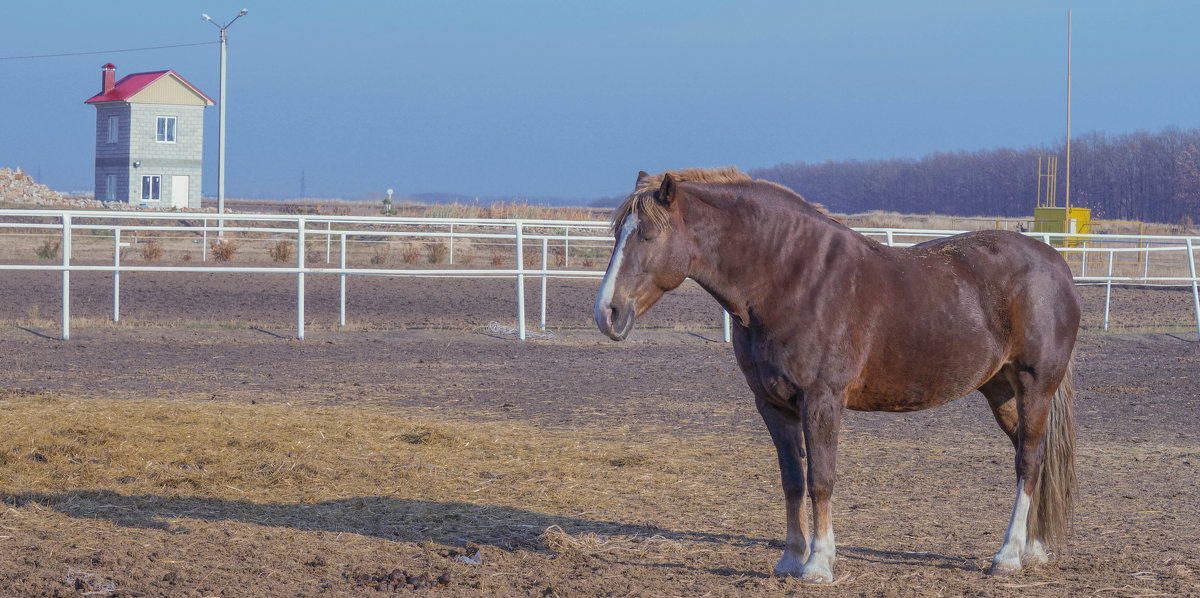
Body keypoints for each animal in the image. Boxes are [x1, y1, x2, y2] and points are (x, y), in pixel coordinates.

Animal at [595, 165, 1084, 581]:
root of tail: (1056, 265)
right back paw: (1033, 549)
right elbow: (792, 479)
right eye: (617, 234)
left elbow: (821, 480)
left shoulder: (822, 400)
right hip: (1001, 391)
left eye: (648, 235)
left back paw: (1008, 556)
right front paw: (790, 559)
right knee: (1033, 457)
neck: (792, 279)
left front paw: (818, 564)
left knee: (1028, 461)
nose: (606, 313)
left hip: (1034, 385)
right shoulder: (772, 405)